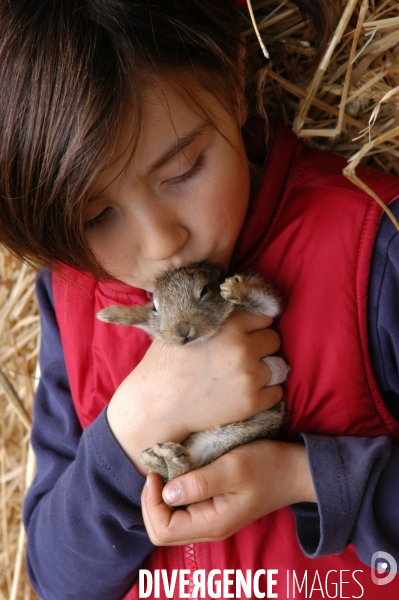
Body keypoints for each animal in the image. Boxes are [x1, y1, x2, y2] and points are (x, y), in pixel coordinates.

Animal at [98, 262, 290, 482]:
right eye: (155, 307)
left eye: (205, 291)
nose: (181, 330)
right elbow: (144, 319)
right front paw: (109, 314)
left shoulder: (265, 307)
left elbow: (264, 299)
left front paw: (234, 289)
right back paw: (158, 458)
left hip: (232, 436)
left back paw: (172, 458)